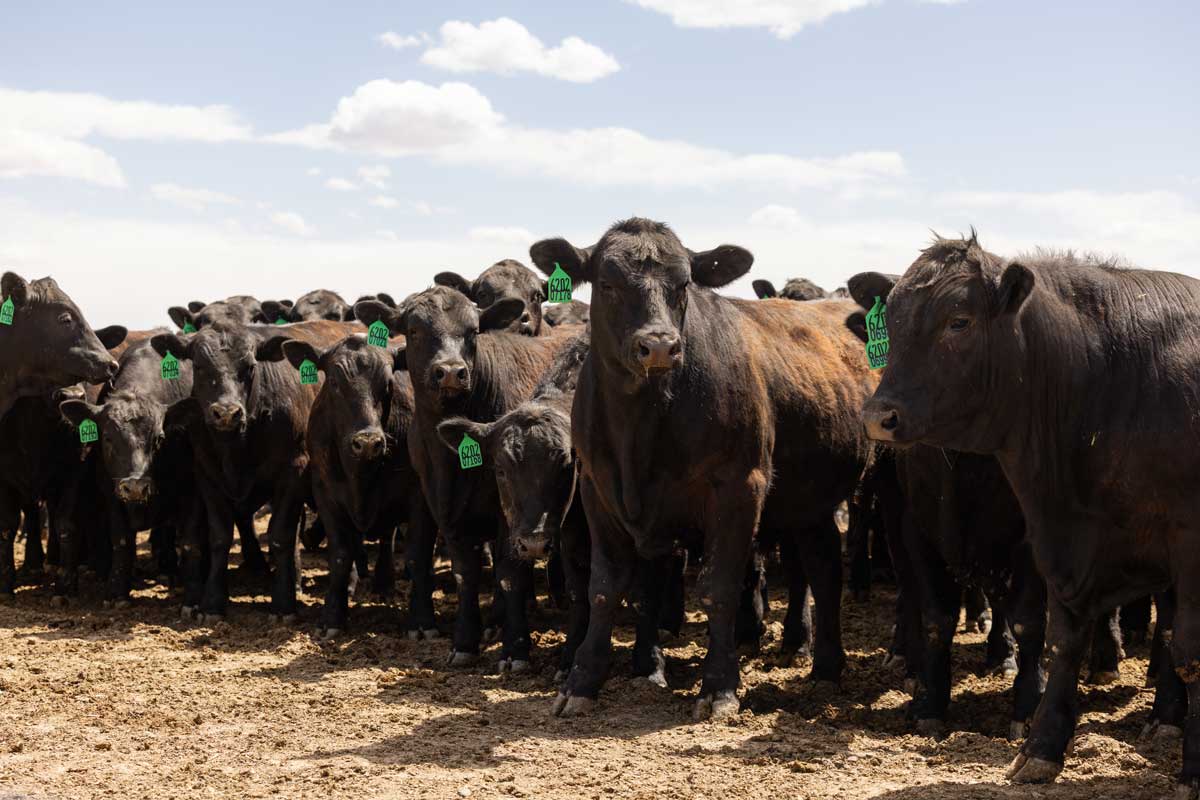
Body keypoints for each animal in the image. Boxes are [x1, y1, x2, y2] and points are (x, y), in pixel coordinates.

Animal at [150, 319, 358, 620]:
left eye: (249, 367)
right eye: (199, 366)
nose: (226, 412)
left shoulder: (293, 470)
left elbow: (280, 536)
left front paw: (283, 604)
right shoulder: (207, 474)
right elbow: (220, 536)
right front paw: (213, 602)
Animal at [281, 332, 437, 637]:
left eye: (388, 383)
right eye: (334, 382)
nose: (367, 442)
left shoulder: (421, 497)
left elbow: (417, 556)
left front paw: (422, 620)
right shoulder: (326, 494)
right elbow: (341, 556)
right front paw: (332, 617)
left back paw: (384, 584)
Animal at [353, 289, 577, 670]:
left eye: (473, 331)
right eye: (414, 330)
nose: (450, 372)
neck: (452, 464)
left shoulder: (512, 516)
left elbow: (509, 575)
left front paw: (515, 649)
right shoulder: (442, 506)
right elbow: (465, 574)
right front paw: (464, 642)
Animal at [528, 218, 878, 720]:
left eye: (683, 285)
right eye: (608, 284)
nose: (658, 346)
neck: (641, 429)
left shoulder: (739, 487)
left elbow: (719, 587)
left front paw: (719, 686)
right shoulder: (597, 489)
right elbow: (604, 586)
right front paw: (582, 681)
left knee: (823, 573)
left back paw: (824, 665)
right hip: (808, 503)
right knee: (825, 565)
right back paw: (827, 668)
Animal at [850, 233, 1200, 794]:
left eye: (959, 321)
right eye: (893, 322)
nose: (879, 417)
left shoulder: (1182, 545)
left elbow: (1187, 650)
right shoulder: (1054, 537)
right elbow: (1057, 638)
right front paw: (1040, 748)